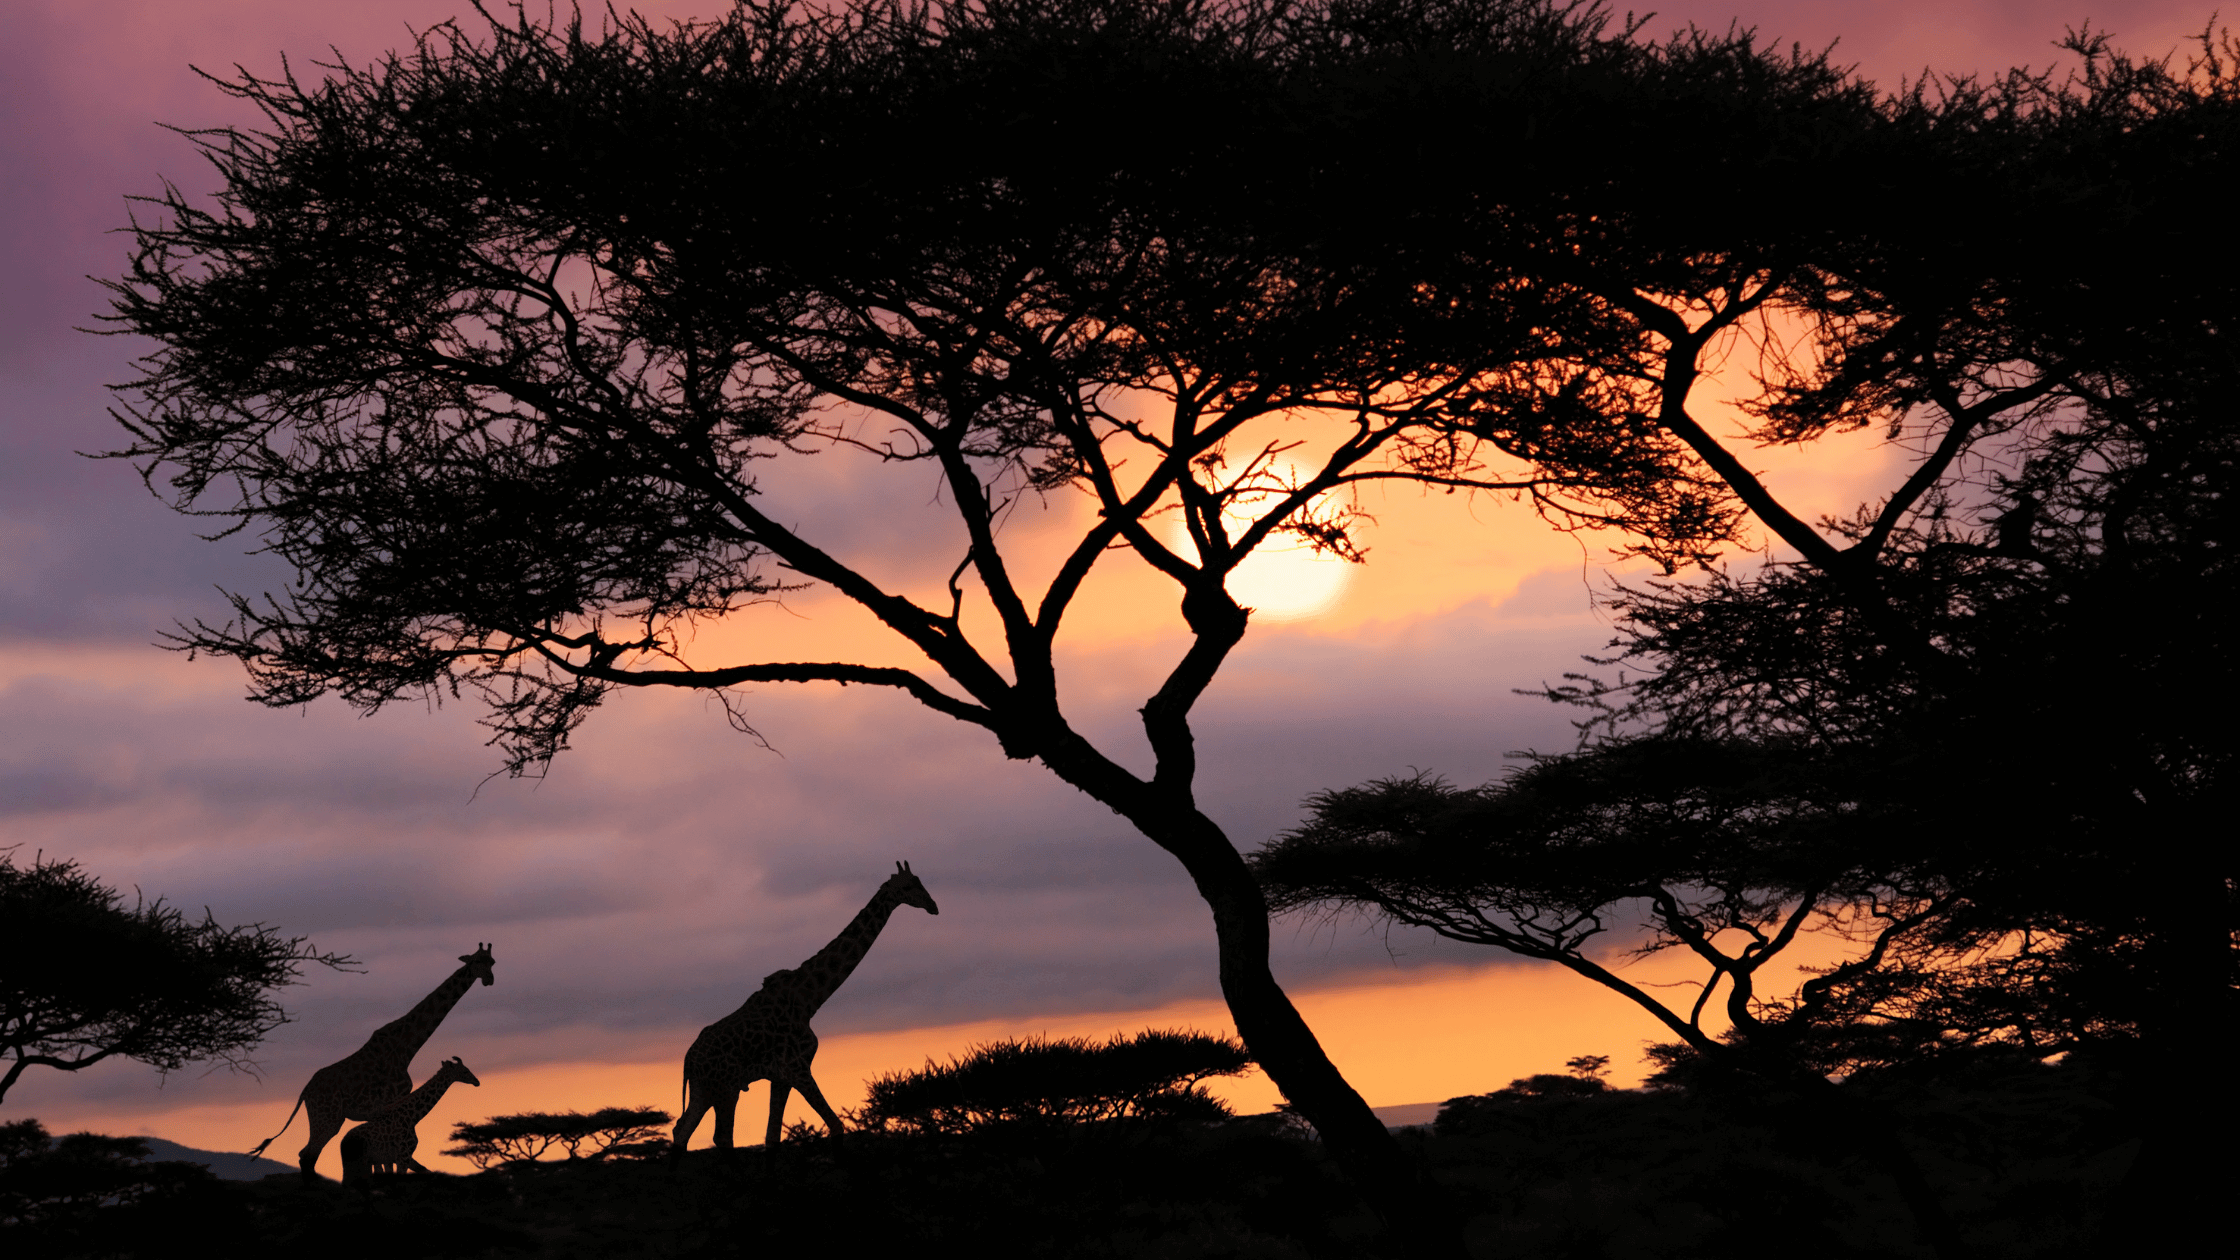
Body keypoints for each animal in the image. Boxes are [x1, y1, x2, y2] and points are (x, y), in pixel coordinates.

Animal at [336, 1053, 481, 1183]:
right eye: (465, 1070)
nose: (477, 1082)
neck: (413, 1117)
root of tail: (343, 1143)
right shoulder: (403, 1157)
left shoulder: (394, 1159)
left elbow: (425, 1170)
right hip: (360, 1162)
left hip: (356, 1163)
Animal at [672, 856, 936, 1165]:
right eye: (908, 886)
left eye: (920, 881)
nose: (933, 906)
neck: (808, 1000)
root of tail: (688, 1059)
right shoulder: (797, 1068)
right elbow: (835, 1125)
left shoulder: (781, 1076)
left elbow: (772, 1139)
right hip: (726, 1088)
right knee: (721, 1137)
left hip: (704, 1089)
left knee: (682, 1131)